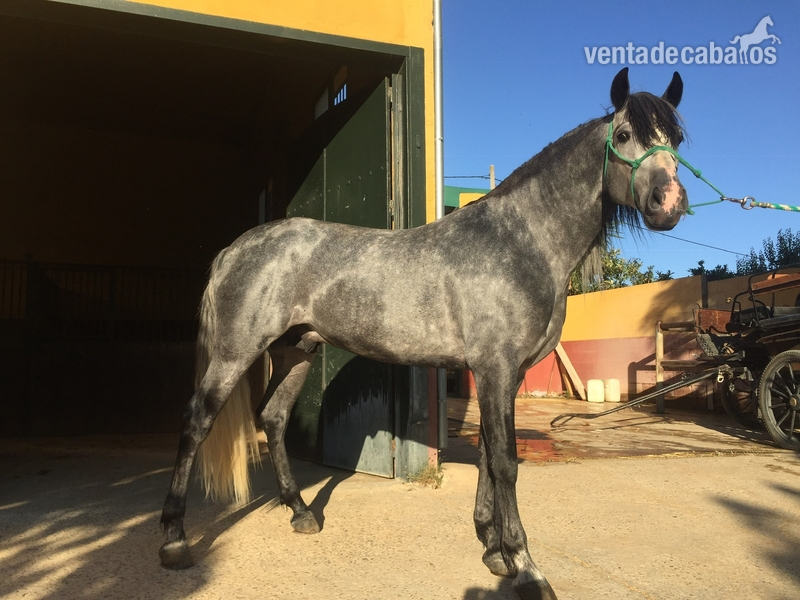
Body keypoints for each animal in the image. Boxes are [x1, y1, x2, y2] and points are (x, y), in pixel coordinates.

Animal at [159, 67, 688, 600]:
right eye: (625, 135)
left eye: (677, 141)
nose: (670, 203)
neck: (521, 242)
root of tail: (234, 249)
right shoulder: (495, 369)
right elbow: (506, 462)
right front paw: (526, 567)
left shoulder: (505, 376)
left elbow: (486, 455)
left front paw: (493, 551)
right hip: (236, 352)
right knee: (196, 422)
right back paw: (175, 540)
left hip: (298, 352)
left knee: (272, 416)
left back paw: (301, 512)